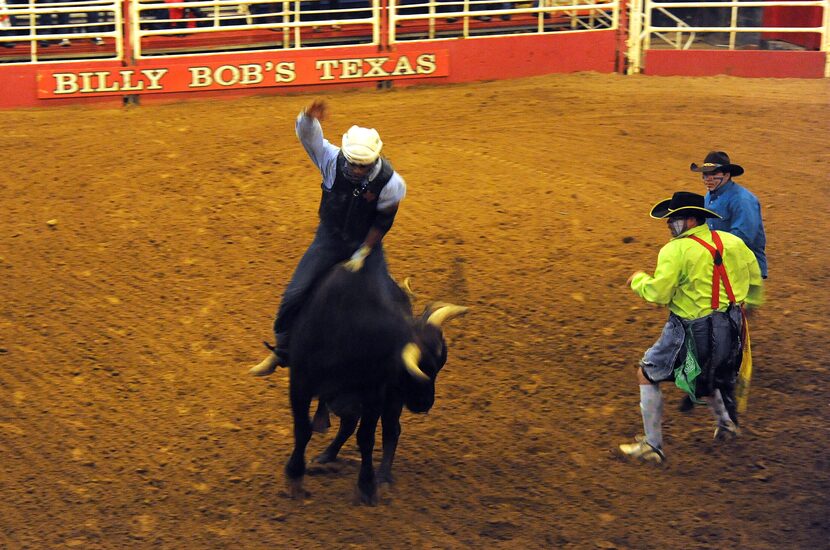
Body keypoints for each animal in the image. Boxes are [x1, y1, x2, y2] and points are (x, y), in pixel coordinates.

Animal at [286, 266, 468, 506]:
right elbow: (302, 429)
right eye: (413, 371)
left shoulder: (374, 395)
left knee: (390, 430)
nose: (425, 403)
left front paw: (367, 485)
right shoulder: (300, 384)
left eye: (437, 368)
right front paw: (295, 475)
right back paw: (326, 455)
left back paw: (382, 476)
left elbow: (366, 437)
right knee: (348, 424)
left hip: (389, 399)